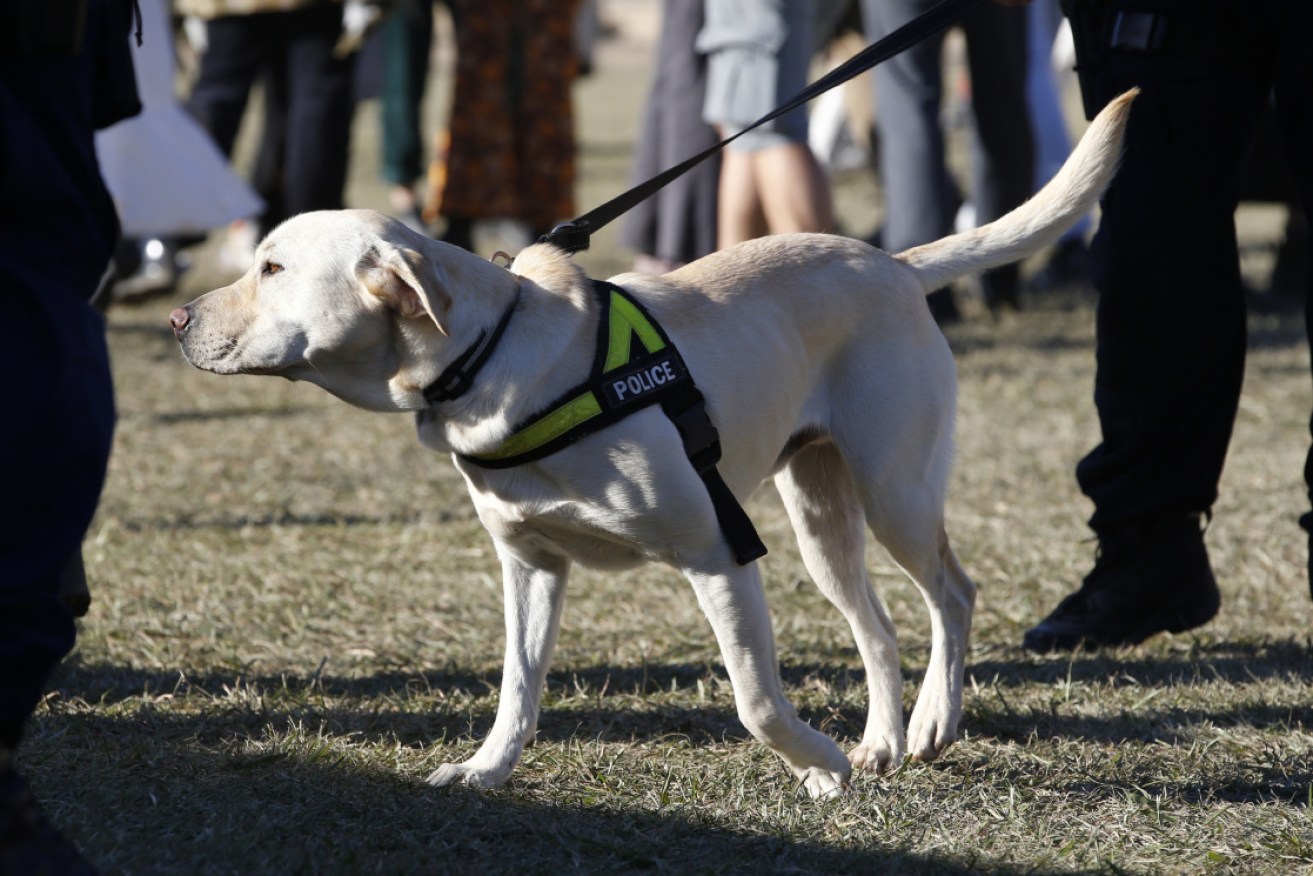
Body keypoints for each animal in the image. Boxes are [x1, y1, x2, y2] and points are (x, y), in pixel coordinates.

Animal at [172, 92, 1139, 798]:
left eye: (272, 268)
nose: (178, 320)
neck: (492, 359)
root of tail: (893, 263)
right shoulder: (530, 565)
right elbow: (517, 687)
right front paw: (485, 770)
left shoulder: (717, 550)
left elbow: (753, 699)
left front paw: (816, 767)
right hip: (820, 516)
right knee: (879, 627)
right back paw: (879, 744)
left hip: (891, 490)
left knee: (951, 593)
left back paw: (929, 723)